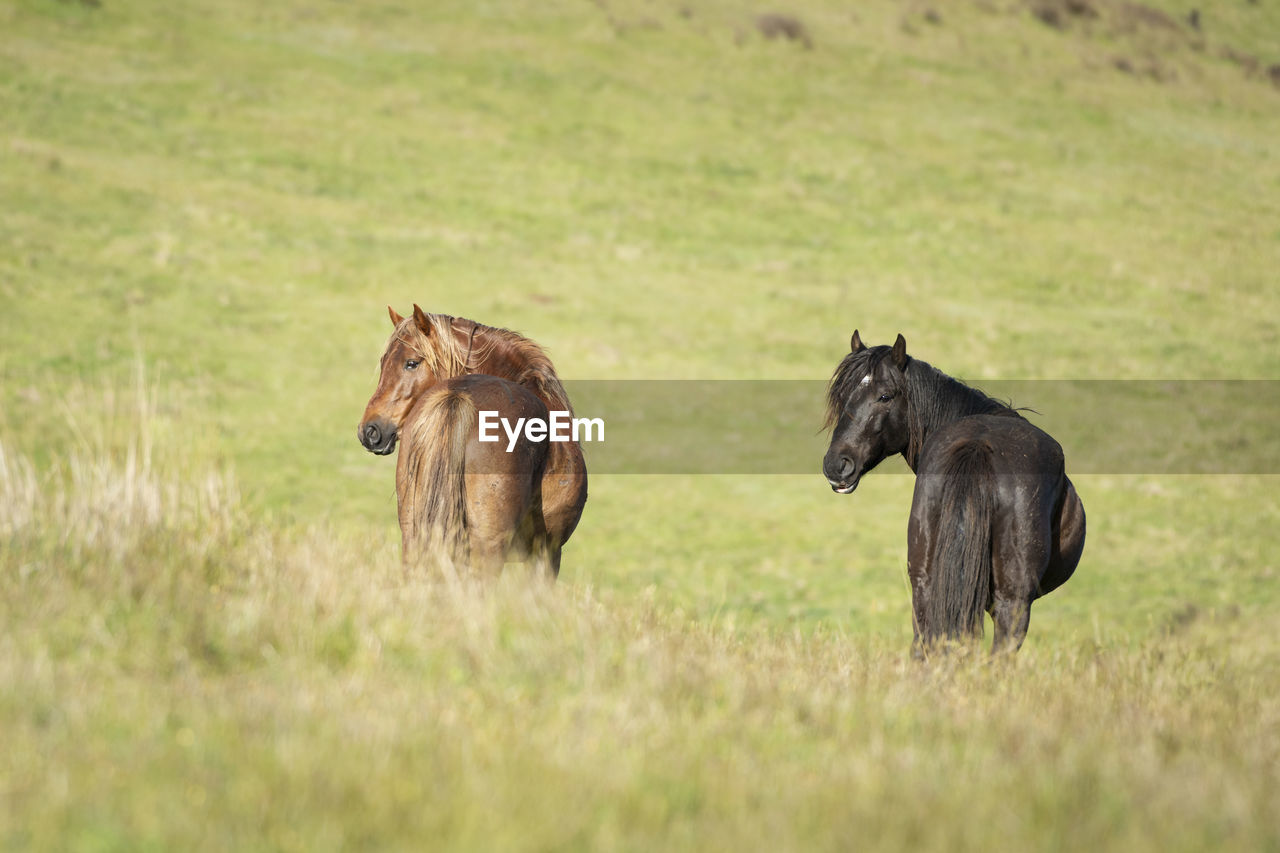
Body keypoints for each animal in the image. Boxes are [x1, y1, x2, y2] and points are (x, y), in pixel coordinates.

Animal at [824, 330, 1085, 650]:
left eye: (885, 396)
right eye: (841, 396)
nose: (837, 465)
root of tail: (977, 449)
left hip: (925, 586)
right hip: (1012, 602)